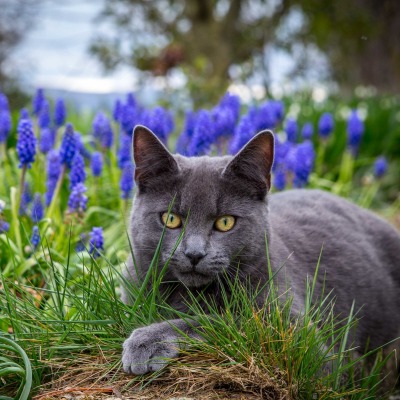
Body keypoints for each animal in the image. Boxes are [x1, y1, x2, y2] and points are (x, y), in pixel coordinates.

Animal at [122, 125, 400, 382]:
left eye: (225, 222)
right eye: (170, 219)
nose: (194, 253)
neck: (189, 294)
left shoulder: (305, 342)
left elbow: (228, 321)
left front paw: (148, 340)